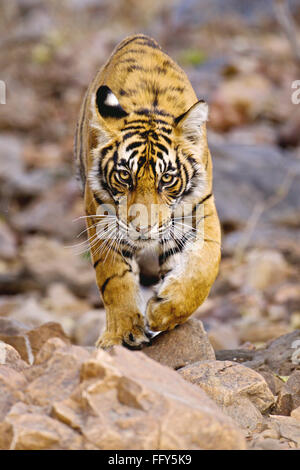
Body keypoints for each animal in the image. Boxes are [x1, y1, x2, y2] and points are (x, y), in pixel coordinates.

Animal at [75, 34, 220, 348]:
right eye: (124, 176)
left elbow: (204, 268)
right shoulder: (101, 215)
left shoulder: (199, 209)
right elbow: (114, 277)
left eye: (166, 178)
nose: (142, 229)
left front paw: (163, 311)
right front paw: (122, 333)